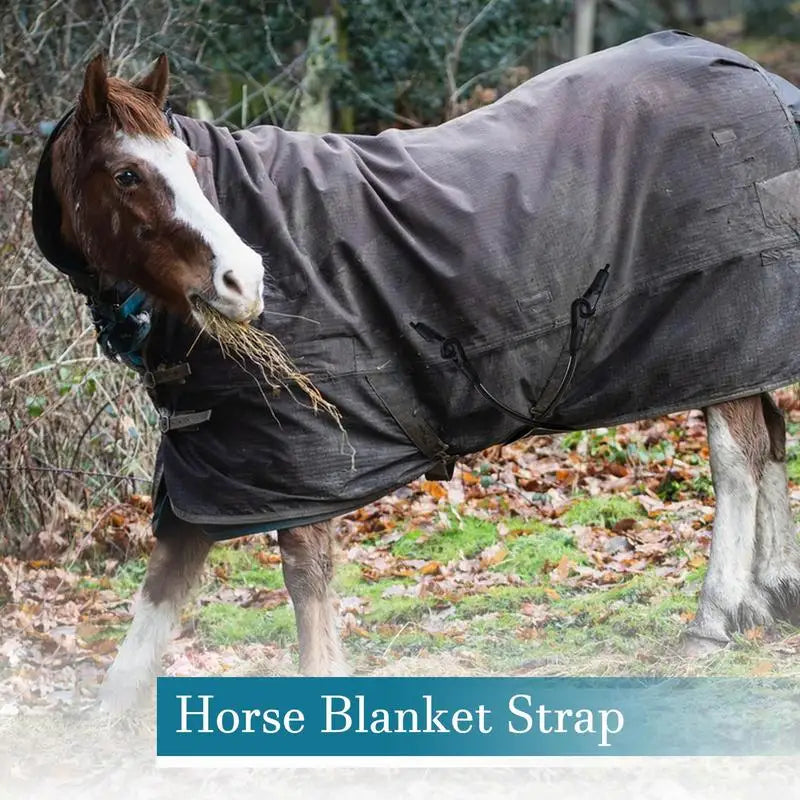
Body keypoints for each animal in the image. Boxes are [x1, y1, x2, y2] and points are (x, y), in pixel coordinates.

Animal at [32, 31, 800, 713]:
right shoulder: (216, 464)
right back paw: (773, 596)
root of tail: (760, 79)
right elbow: (165, 581)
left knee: (738, 458)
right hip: (746, 354)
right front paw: (108, 722)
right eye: (127, 174)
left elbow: (305, 578)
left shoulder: (301, 455)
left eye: (191, 163)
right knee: (770, 440)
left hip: (722, 342)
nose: (243, 280)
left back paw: (713, 619)